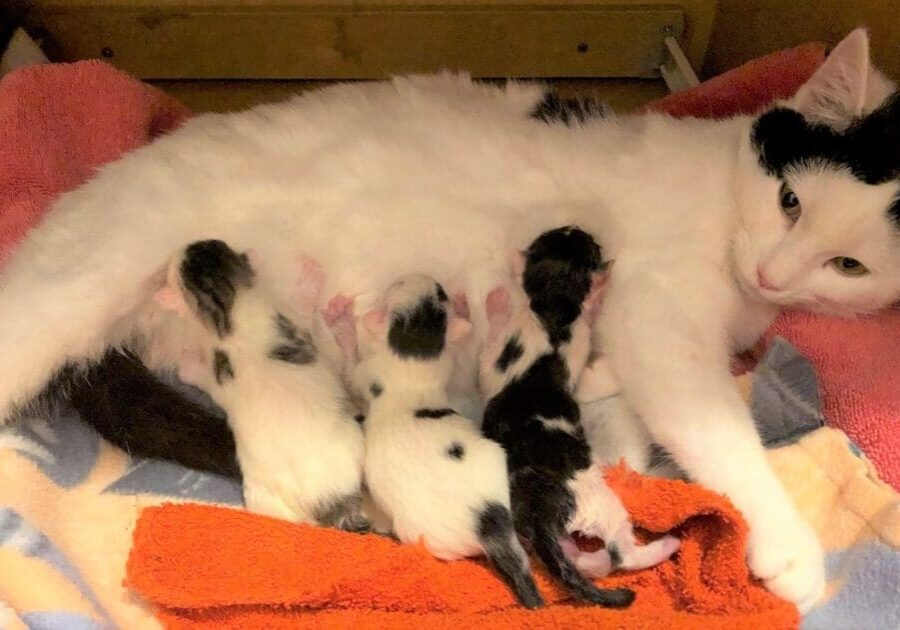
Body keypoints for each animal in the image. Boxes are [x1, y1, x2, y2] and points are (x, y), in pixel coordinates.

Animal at [1, 28, 900, 612]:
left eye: (850, 266)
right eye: (789, 200)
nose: (772, 271)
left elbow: (619, 431)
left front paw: (612, 493)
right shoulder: (661, 324)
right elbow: (717, 429)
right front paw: (787, 544)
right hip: (75, 287)